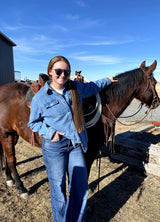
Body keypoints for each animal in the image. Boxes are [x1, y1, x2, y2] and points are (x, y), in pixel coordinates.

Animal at [0, 60, 159, 198]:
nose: (157, 102)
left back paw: (9, 179)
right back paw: (21, 188)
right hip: (6, 135)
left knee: (7, 157)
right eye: (154, 82)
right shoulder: (87, 152)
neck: (104, 109)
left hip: (12, 134)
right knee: (12, 160)